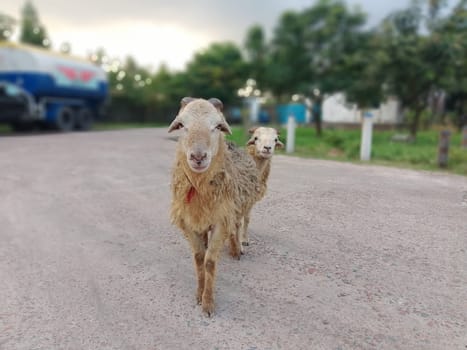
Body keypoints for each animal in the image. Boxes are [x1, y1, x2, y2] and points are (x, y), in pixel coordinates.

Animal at [170, 96, 262, 318]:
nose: (198, 157)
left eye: (218, 126)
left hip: (237, 208)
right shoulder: (189, 222)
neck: (199, 188)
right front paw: (199, 293)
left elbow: (210, 261)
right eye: (181, 125)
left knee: (237, 226)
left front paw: (208, 303)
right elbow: (198, 258)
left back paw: (237, 249)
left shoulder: (222, 220)